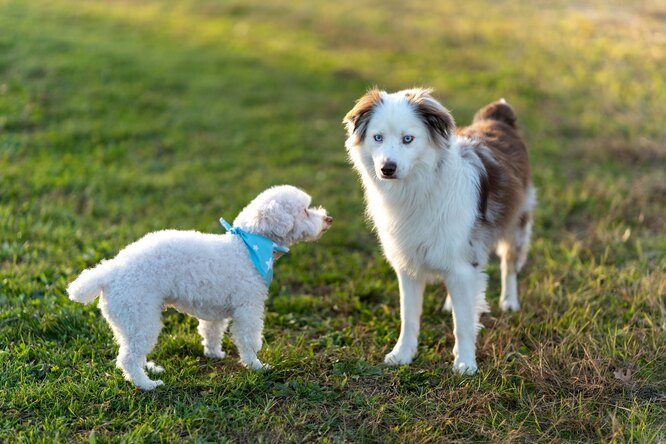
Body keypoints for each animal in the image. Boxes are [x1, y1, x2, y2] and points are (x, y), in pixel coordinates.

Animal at [67, 186, 332, 390]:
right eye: (305, 211)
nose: (329, 219)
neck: (246, 247)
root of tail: (108, 272)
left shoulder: (215, 311)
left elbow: (211, 332)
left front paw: (214, 354)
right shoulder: (248, 308)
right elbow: (248, 339)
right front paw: (257, 366)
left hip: (127, 322)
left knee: (130, 351)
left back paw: (150, 369)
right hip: (140, 317)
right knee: (128, 358)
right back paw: (146, 384)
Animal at [342, 88, 536, 372]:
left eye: (408, 139)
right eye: (378, 137)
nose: (387, 169)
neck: (417, 188)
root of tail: (497, 117)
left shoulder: (463, 259)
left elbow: (463, 324)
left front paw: (465, 363)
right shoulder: (408, 265)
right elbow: (409, 316)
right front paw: (403, 354)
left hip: (516, 224)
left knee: (509, 264)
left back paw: (509, 301)